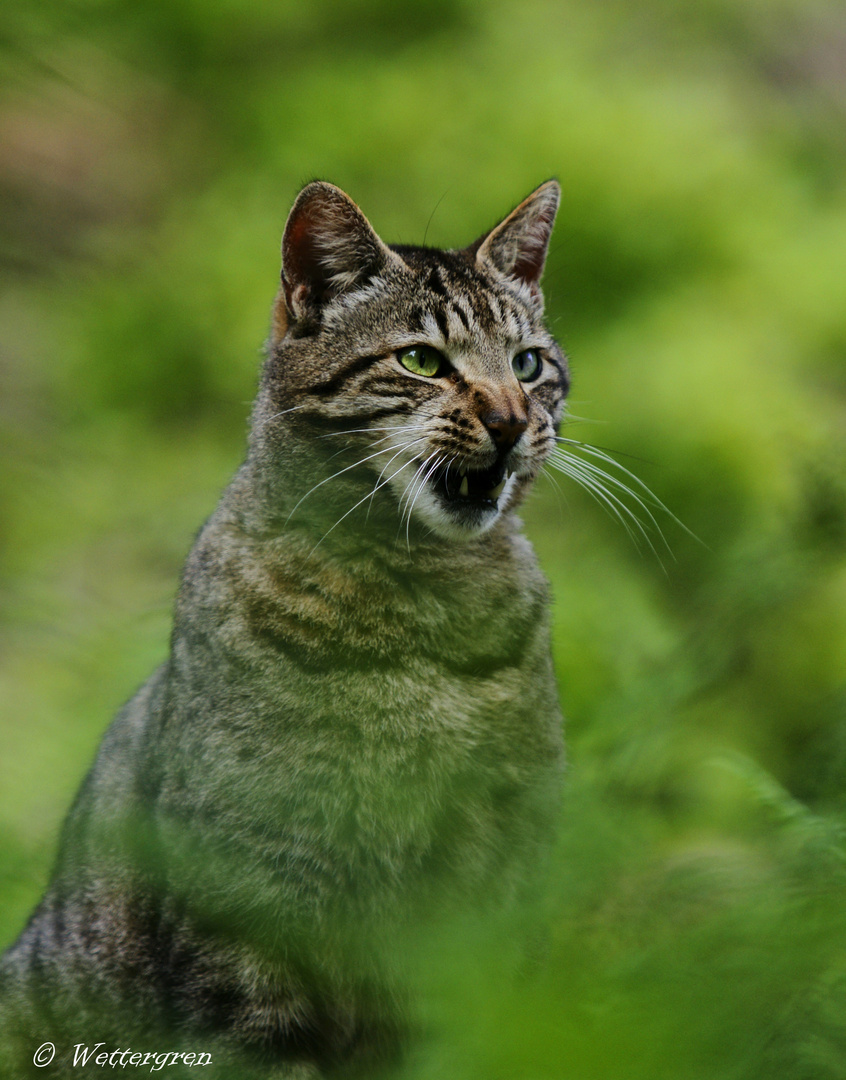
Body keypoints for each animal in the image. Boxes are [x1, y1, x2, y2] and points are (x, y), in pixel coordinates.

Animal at [1, 181, 570, 1075]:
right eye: (422, 362)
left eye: (527, 364)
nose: (513, 420)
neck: (420, 604)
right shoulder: (246, 913)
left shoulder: (492, 899)